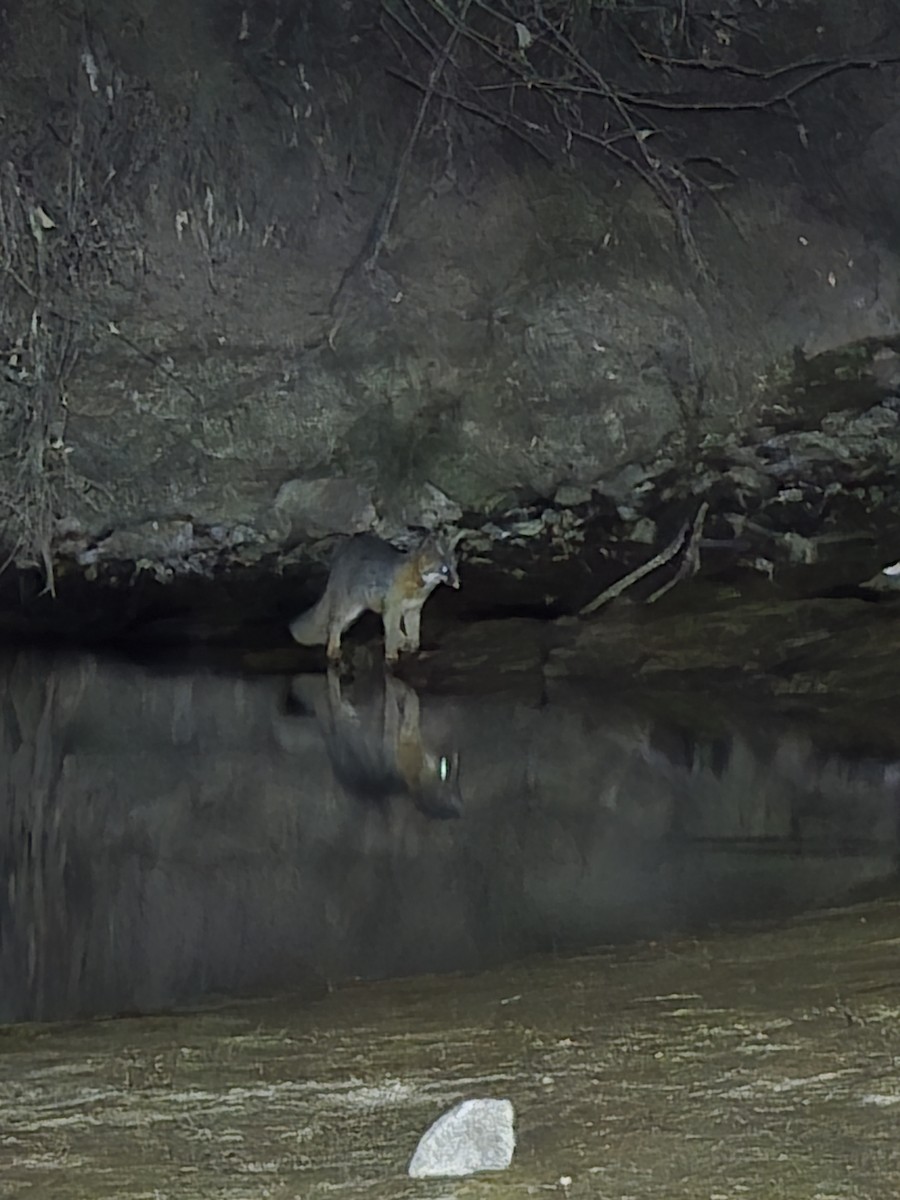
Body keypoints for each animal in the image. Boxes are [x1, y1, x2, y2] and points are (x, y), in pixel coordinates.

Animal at [289, 531, 461, 664]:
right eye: (444, 569)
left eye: (455, 567)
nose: (458, 584)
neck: (418, 585)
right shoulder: (392, 606)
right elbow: (391, 632)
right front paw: (392, 656)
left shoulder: (412, 609)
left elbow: (412, 634)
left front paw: (412, 646)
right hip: (349, 608)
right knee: (333, 625)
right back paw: (333, 650)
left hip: (361, 608)